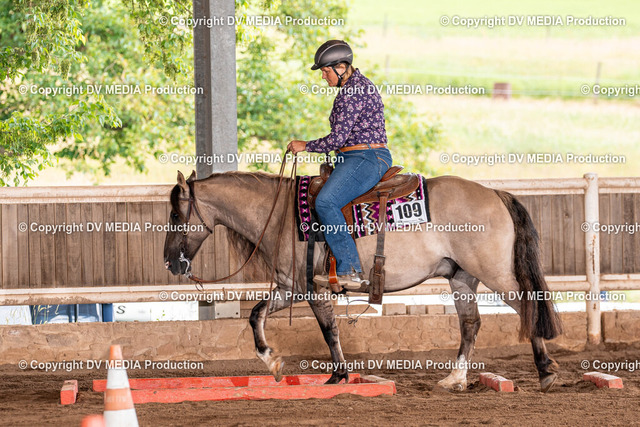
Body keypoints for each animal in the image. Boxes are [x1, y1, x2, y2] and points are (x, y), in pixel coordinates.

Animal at [163, 169, 563, 392]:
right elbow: (256, 314)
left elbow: (328, 330)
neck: (280, 214)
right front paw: (271, 362)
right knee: (471, 324)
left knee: (529, 305)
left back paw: (545, 371)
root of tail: (495, 193)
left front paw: (339, 376)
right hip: (462, 277)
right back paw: (455, 379)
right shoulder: (291, 287)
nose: (169, 261)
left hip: (494, 273)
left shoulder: (313, 288)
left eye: (175, 214)